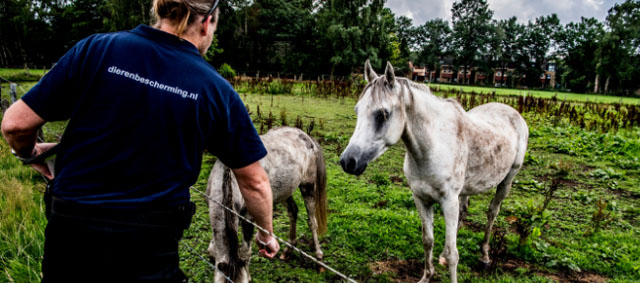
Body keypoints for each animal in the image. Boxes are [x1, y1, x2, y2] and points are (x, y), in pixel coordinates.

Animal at [206, 127, 328, 283]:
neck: (229, 176)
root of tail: (305, 135)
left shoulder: (248, 218)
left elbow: (245, 252)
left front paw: (248, 274)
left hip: (308, 187)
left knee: (312, 222)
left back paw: (319, 260)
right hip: (283, 191)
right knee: (293, 211)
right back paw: (288, 250)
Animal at [342, 61, 528, 282]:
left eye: (383, 114)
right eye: (357, 110)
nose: (348, 161)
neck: (431, 148)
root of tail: (512, 111)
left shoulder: (448, 200)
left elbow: (453, 254)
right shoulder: (421, 198)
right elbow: (428, 240)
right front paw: (427, 275)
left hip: (506, 181)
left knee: (492, 213)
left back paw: (484, 256)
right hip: (464, 190)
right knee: (464, 212)